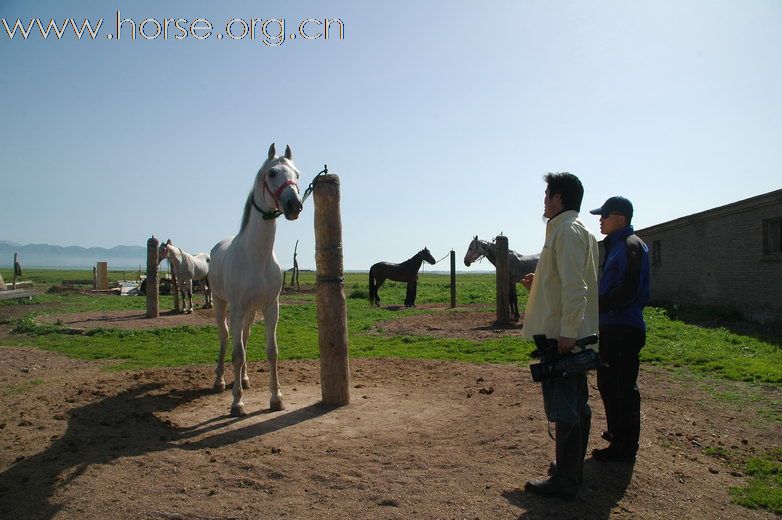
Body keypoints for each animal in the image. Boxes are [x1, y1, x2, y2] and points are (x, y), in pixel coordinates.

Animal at [208, 141, 304, 414]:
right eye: (272, 173)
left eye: (297, 175)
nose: (294, 205)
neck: (256, 257)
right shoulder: (238, 308)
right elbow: (237, 353)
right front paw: (237, 403)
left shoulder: (271, 307)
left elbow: (271, 351)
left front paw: (276, 398)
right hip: (221, 303)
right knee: (225, 337)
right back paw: (220, 382)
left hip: (251, 312)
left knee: (244, 337)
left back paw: (245, 379)